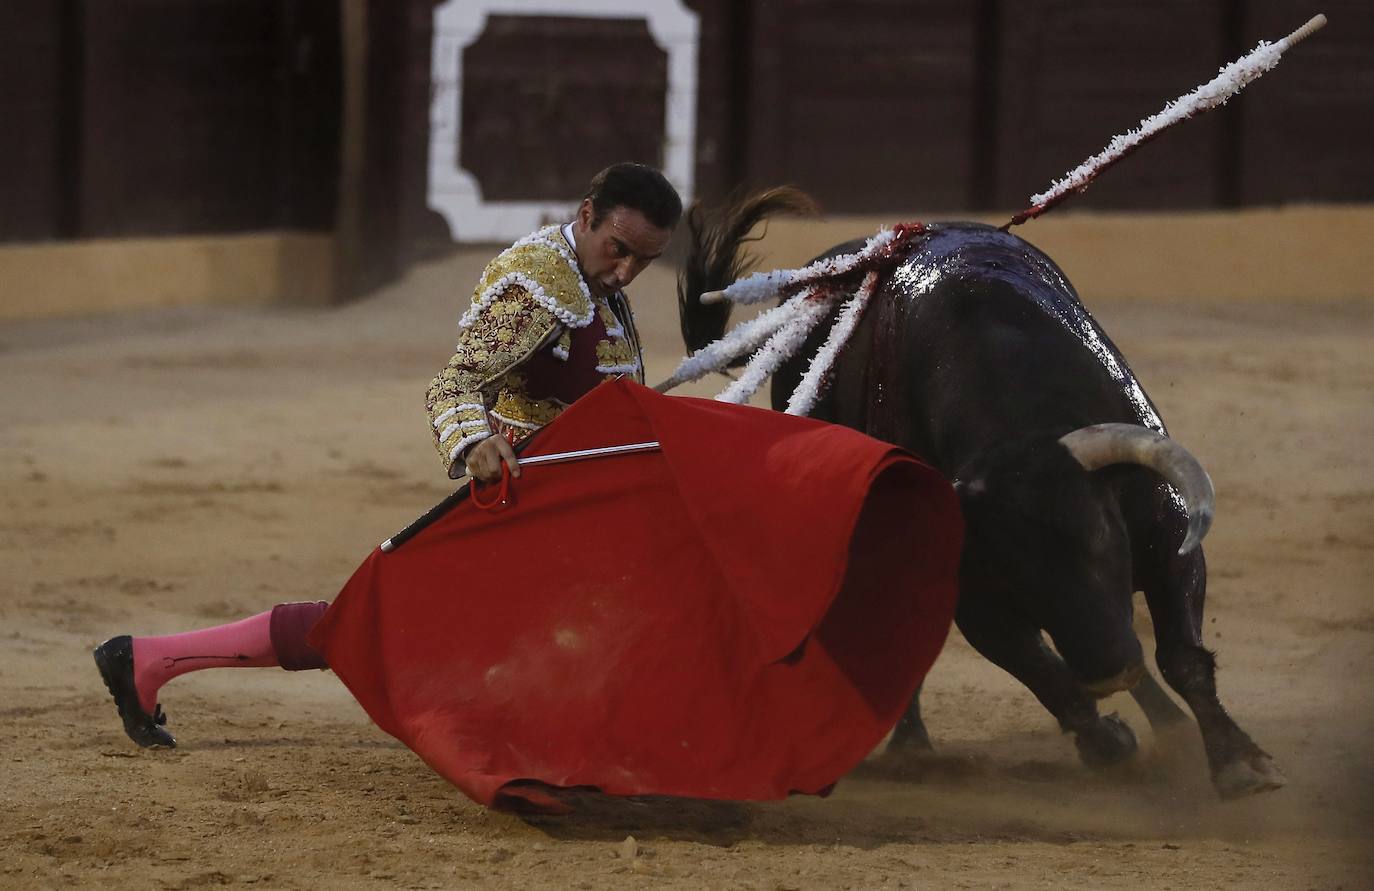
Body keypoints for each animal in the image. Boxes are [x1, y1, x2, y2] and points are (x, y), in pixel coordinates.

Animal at [676, 189, 1286, 803]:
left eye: (1102, 538)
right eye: (1010, 576)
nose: (1111, 671)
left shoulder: (1168, 540)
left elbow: (1181, 655)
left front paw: (1238, 763)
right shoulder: (976, 596)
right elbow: (1046, 676)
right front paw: (1108, 742)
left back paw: (1168, 725)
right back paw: (913, 748)